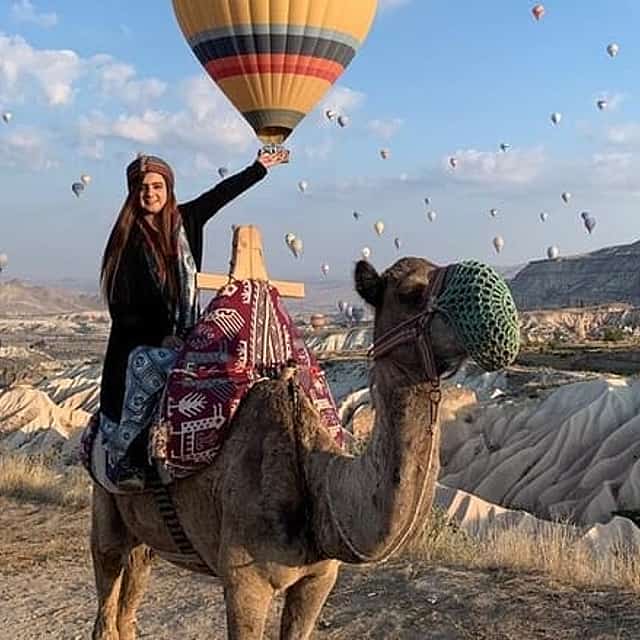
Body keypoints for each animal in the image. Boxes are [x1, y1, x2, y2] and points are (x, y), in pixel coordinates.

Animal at [91, 257, 470, 640]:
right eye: (410, 292)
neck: (314, 476)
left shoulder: (319, 578)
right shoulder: (244, 583)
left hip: (147, 535)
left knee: (133, 589)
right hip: (106, 505)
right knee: (107, 584)